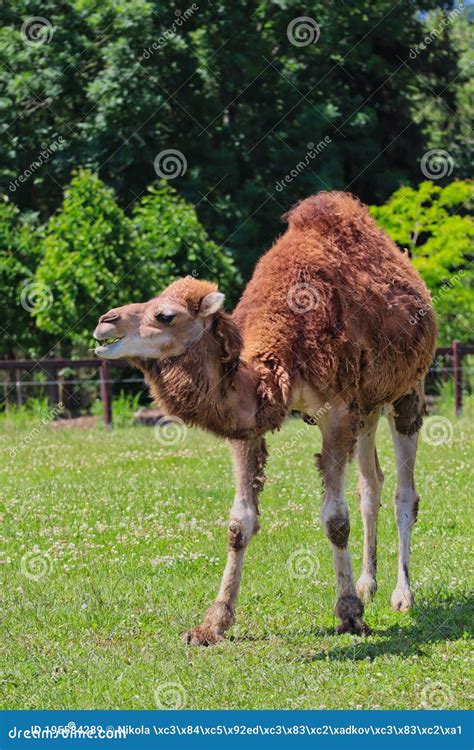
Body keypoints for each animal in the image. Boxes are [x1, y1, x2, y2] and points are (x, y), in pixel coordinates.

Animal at [93, 192, 436, 648]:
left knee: (404, 492)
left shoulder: (336, 412)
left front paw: (349, 615)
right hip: (368, 406)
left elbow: (335, 520)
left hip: (407, 391)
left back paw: (402, 595)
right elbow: (239, 523)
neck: (282, 350)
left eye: (165, 315)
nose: (105, 321)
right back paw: (368, 584)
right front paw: (212, 623)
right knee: (371, 485)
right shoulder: (251, 427)